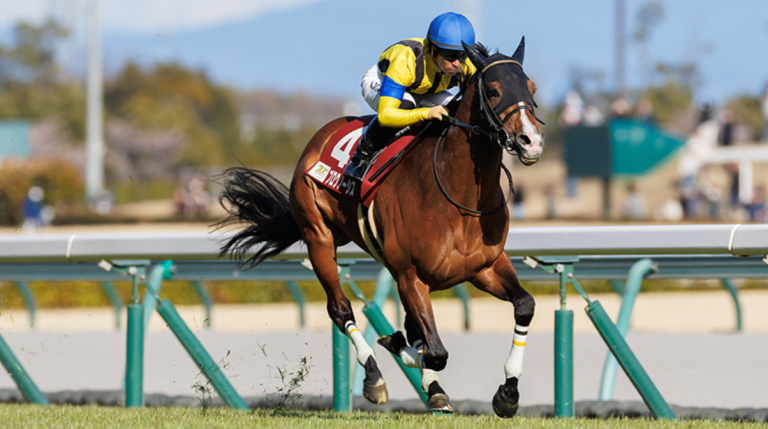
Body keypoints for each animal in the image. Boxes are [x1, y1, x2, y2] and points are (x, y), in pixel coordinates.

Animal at [217, 37, 544, 417]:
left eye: (531, 88)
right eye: (492, 90)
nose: (532, 141)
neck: (457, 193)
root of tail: (320, 136)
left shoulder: (485, 267)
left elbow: (524, 305)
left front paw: (508, 393)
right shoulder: (409, 275)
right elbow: (434, 352)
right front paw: (394, 345)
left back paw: (432, 387)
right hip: (318, 236)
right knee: (340, 308)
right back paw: (375, 375)